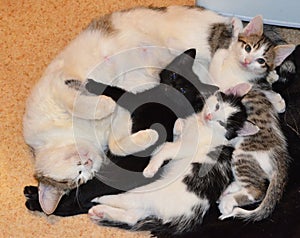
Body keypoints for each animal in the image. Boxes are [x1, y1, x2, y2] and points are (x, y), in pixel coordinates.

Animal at [88, 83, 258, 236]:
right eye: (217, 106)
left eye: (222, 123)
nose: (209, 116)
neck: (203, 126)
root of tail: (187, 216)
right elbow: (176, 132)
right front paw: (179, 125)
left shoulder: (189, 146)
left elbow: (166, 148)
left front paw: (152, 167)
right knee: (132, 216)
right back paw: (100, 211)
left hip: (149, 193)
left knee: (128, 202)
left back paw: (101, 200)